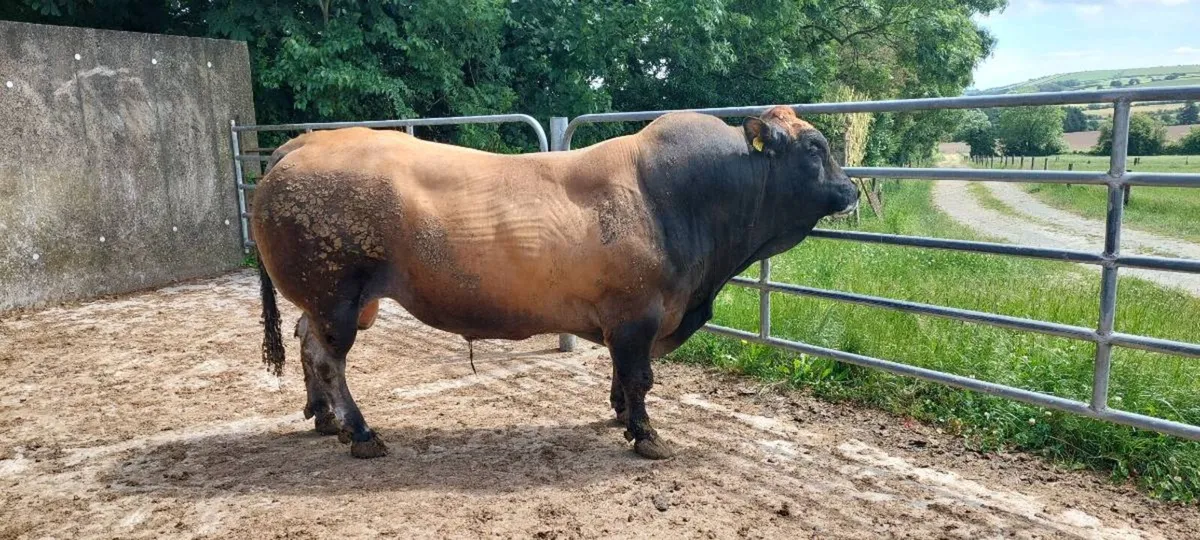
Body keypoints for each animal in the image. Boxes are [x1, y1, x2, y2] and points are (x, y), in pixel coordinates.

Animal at [250, 106, 859, 459]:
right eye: (815, 148)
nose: (852, 189)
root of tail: (302, 144)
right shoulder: (638, 313)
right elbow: (640, 376)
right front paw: (647, 436)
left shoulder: (625, 320)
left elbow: (623, 375)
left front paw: (620, 415)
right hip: (338, 295)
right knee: (329, 358)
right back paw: (360, 433)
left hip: (337, 300)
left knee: (306, 342)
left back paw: (324, 418)